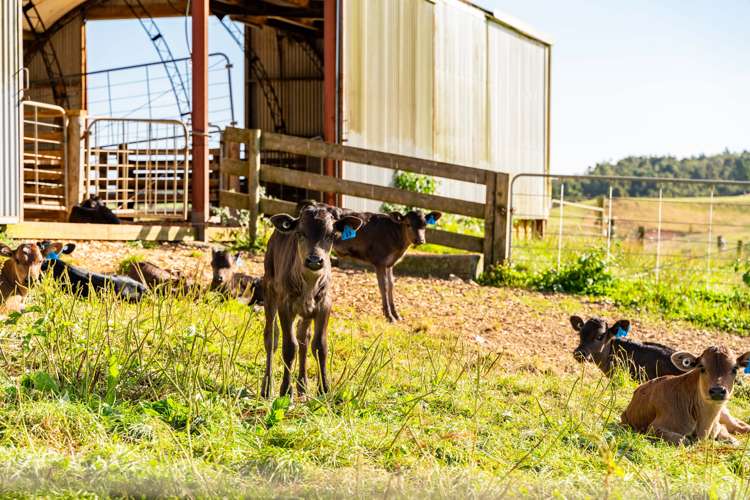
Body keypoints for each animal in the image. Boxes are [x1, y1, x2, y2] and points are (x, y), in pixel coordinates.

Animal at [262, 204, 364, 398]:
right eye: (300, 233)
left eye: (331, 235)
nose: (315, 260)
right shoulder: (285, 305)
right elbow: (289, 347)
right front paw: (285, 390)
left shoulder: (324, 305)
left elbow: (319, 346)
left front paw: (324, 389)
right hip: (270, 289)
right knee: (271, 337)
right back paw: (267, 387)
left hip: (307, 311)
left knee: (304, 337)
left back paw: (302, 385)